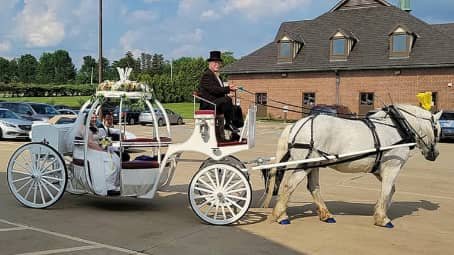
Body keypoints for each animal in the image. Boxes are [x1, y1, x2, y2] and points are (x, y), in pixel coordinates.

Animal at [262, 104, 444, 228]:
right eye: (437, 129)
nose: (435, 154)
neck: (398, 127)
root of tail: (296, 125)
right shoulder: (392, 166)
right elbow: (387, 190)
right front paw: (383, 218)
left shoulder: (380, 169)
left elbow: (390, 190)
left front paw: (379, 210)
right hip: (305, 164)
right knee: (289, 186)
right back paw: (281, 216)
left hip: (314, 163)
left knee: (313, 187)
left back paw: (326, 215)